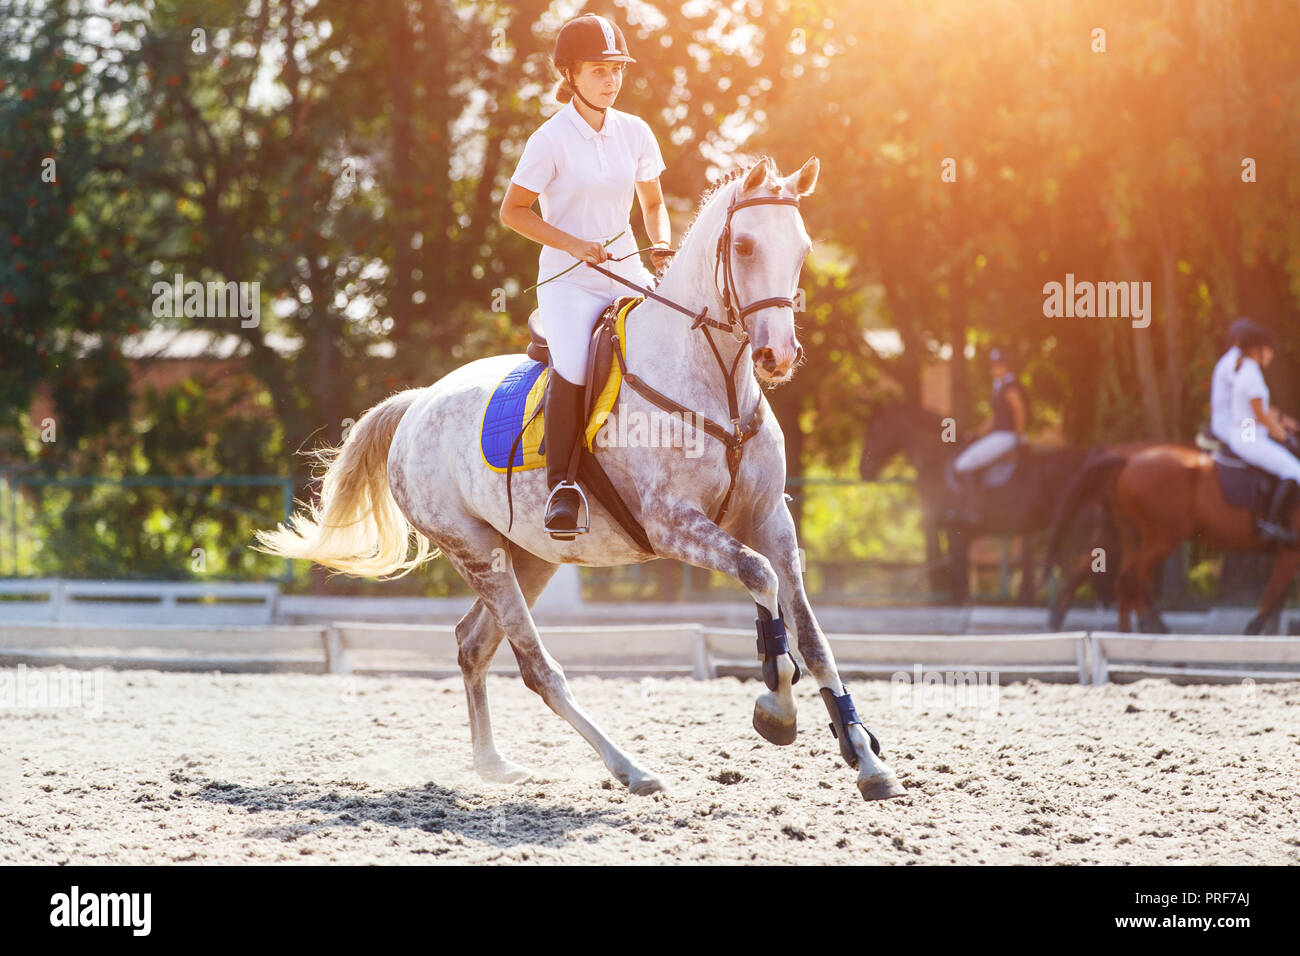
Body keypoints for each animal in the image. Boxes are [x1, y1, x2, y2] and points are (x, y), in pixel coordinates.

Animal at [253, 155, 904, 801]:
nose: (778, 356)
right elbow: (758, 575)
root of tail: (416, 404)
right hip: (478, 552)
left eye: (803, 246)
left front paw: (864, 756)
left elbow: (811, 634)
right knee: (537, 667)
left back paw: (494, 764)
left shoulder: (771, 518)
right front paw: (776, 705)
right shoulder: (673, 524)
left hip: (529, 556)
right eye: (743, 246)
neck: (715, 384)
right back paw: (630, 768)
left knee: (472, 644)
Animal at [1050, 442, 1294, 634]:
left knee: (1121, 578)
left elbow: (1277, 595)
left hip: (1129, 536)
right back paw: (1149, 626)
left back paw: (1126, 628)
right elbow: (1274, 592)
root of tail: (1126, 459)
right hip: (1162, 537)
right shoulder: (1291, 551)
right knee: (1132, 579)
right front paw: (1254, 629)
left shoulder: (1288, 553)